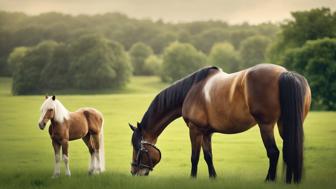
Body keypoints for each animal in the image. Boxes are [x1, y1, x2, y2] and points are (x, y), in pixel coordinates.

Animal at [130, 63, 312, 183]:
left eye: (137, 147)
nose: (133, 171)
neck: (191, 91)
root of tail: (285, 74)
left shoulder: (194, 130)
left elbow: (194, 157)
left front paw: (192, 178)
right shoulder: (206, 133)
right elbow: (208, 156)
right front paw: (213, 178)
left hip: (266, 126)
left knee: (274, 153)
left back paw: (269, 180)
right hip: (285, 124)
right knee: (289, 149)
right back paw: (289, 181)